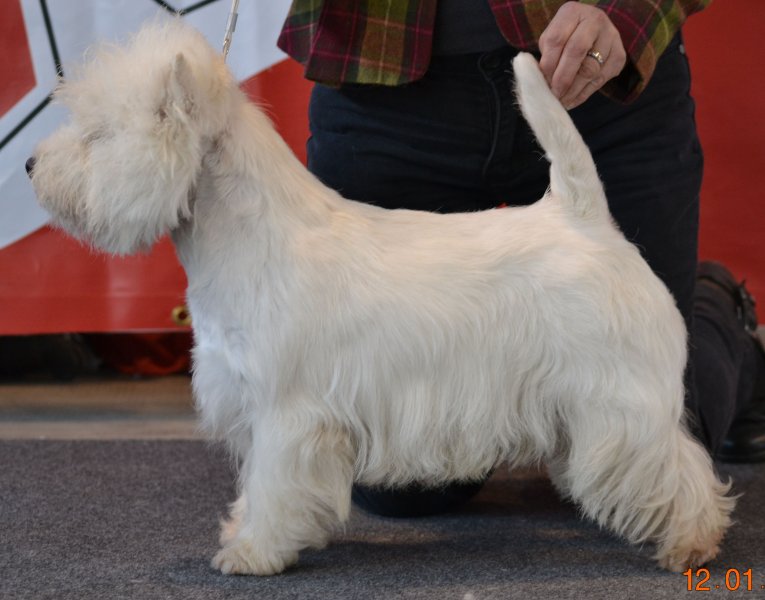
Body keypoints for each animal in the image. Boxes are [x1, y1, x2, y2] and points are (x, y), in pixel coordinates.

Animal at [31, 19, 736, 576]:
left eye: (97, 135)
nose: (34, 166)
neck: (250, 237)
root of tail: (584, 217)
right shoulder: (252, 402)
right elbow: (257, 482)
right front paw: (247, 534)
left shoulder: (288, 412)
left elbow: (273, 484)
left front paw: (253, 552)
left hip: (620, 396)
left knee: (678, 464)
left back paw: (693, 544)